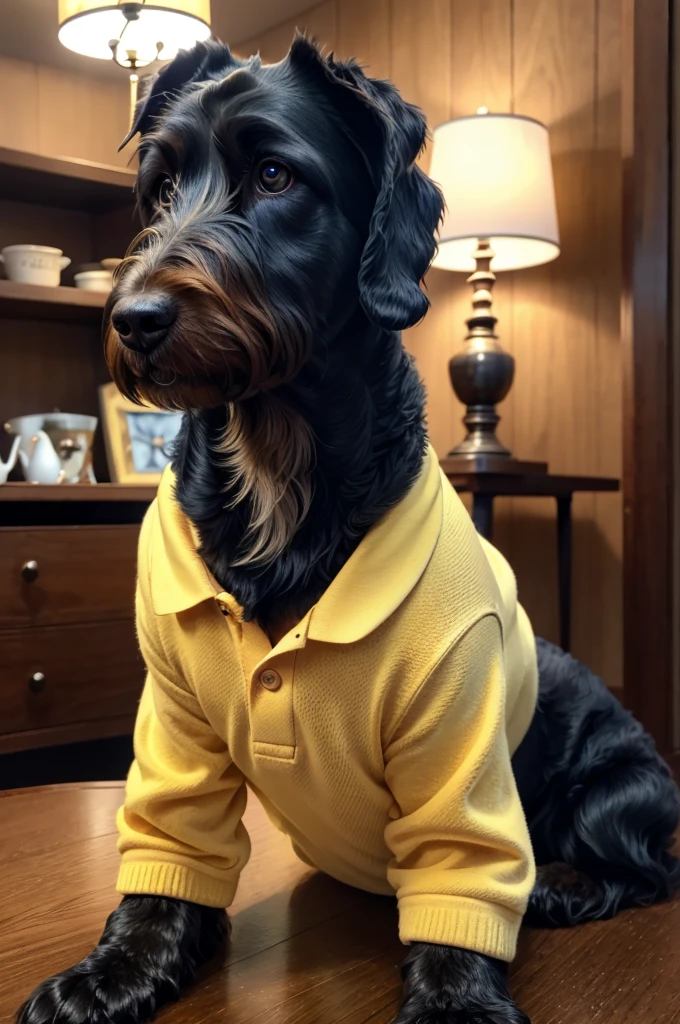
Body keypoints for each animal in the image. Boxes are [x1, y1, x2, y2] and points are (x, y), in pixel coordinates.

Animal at [17, 36, 680, 1019]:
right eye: (160, 188)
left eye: (274, 174)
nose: (131, 320)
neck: (277, 463)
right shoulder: (174, 722)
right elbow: (167, 856)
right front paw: (119, 968)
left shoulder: (459, 736)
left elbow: (463, 878)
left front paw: (457, 1002)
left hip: (619, 790)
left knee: (646, 870)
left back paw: (562, 884)